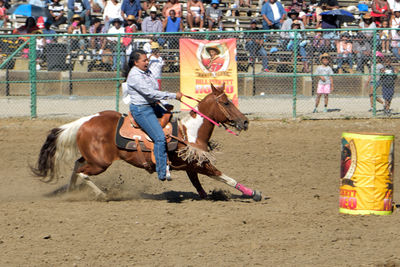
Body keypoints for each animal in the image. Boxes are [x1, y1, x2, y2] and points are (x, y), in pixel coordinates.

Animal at [31, 84, 262, 201]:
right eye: (226, 102)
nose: (244, 121)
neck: (190, 132)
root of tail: (86, 120)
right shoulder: (200, 164)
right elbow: (226, 177)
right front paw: (254, 193)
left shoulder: (192, 165)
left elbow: (199, 185)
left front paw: (208, 195)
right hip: (100, 163)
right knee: (82, 172)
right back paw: (103, 195)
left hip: (92, 157)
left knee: (76, 166)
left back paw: (69, 192)